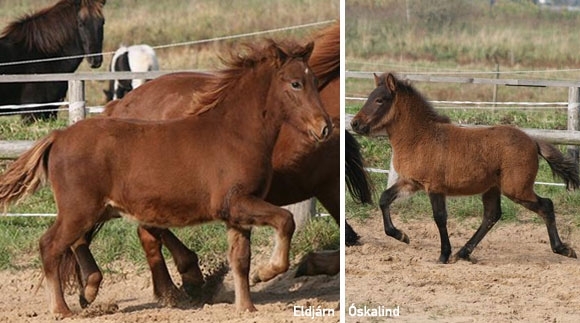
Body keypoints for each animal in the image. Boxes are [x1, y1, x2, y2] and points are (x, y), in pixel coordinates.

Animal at [0, 40, 330, 318]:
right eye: (295, 83)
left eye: (315, 82)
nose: (324, 127)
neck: (235, 133)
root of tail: (58, 136)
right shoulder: (237, 202)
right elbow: (286, 220)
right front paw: (267, 271)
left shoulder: (237, 213)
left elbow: (240, 260)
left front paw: (246, 306)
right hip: (80, 209)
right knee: (50, 245)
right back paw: (61, 309)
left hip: (96, 209)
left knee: (78, 241)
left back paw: (90, 288)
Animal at [352, 73, 576, 266]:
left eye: (380, 100)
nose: (355, 124)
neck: (420, 137)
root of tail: (533, 141)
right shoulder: (410, 182)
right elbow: (384, 199)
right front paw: (402, 236)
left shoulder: (434, 187)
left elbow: (440, 218)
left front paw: (443, 255)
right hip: (493, 189)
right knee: (491, 216)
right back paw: (463, 253)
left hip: (517, 189)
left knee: (545, 205)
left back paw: (563, 249)